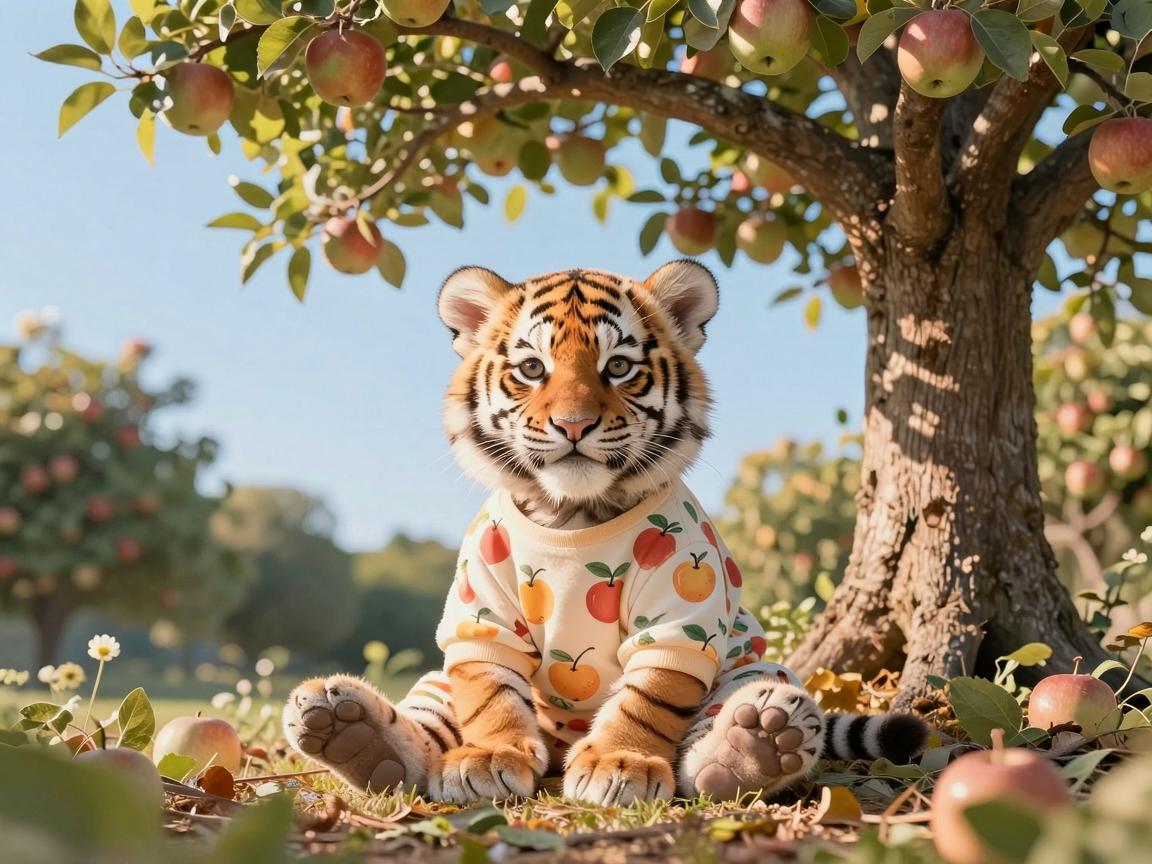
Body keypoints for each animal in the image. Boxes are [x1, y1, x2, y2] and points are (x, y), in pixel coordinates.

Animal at [283, 261, 927, 805]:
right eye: (532, 369)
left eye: (618, 367)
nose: (573, 425)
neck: (572, 515)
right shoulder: (480, 615)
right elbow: (490, 695)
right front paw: (487, 757)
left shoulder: (679, 619)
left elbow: (646, 699)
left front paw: (620, 765)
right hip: (438, 683)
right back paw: (350, 731)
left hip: (751, 667)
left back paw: (757, 745)